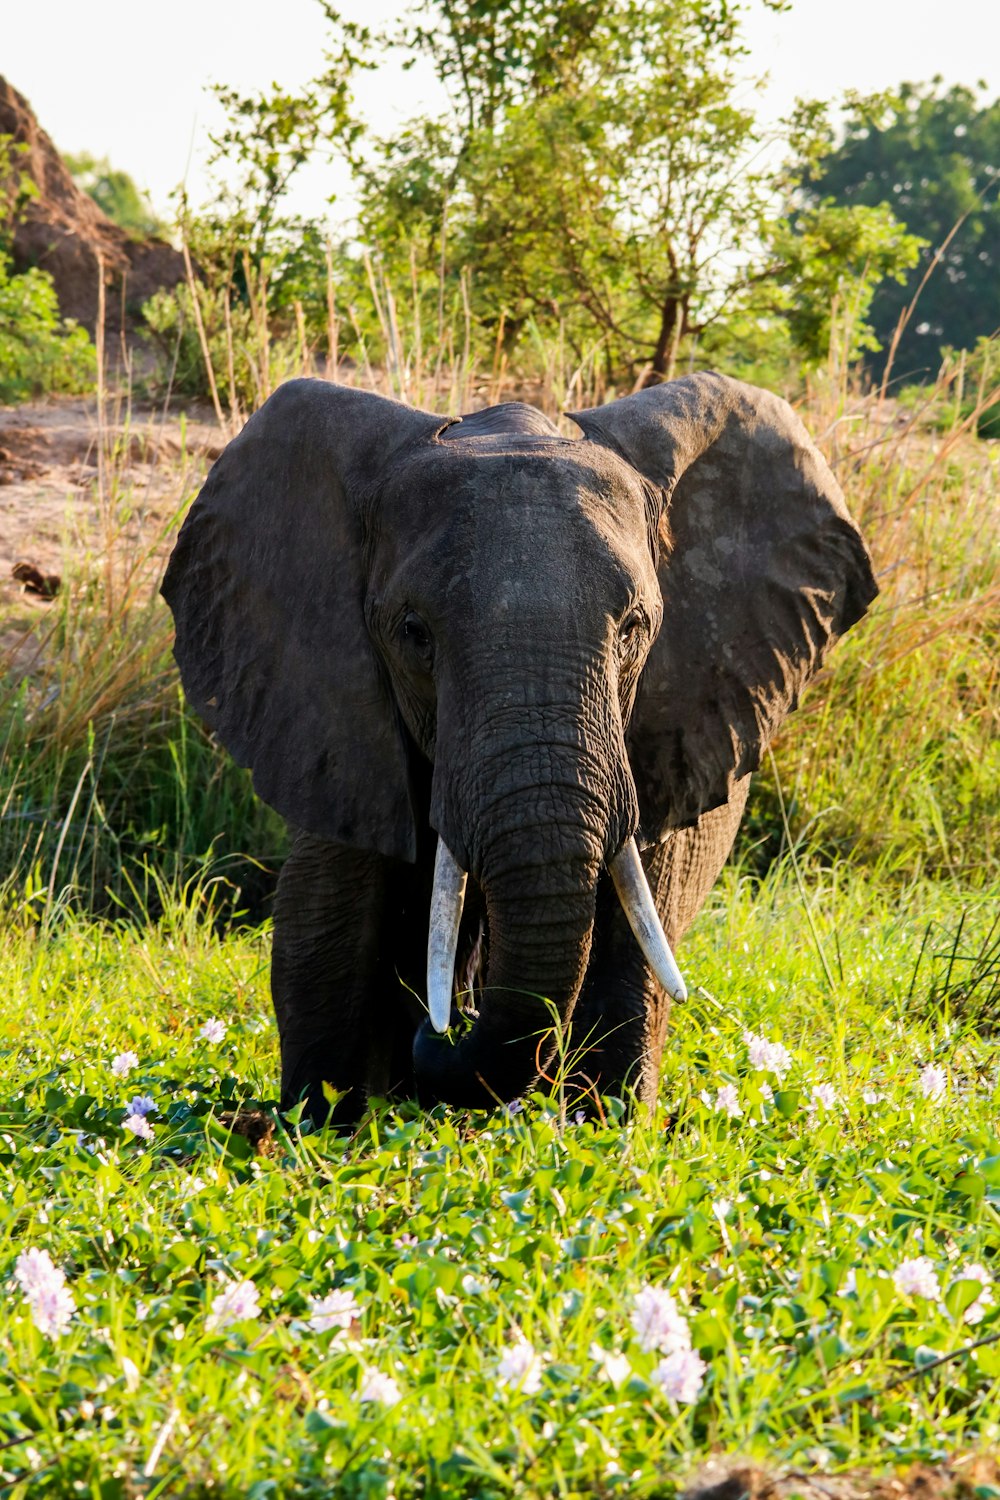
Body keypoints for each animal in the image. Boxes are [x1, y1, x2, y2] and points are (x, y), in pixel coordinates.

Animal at [162, 372, 875, 1128]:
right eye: (414, 633)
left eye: (634, 628)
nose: (452, 1021)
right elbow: (330, 922)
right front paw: (322, 1128)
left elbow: (636, 926)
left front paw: (606, 1128)